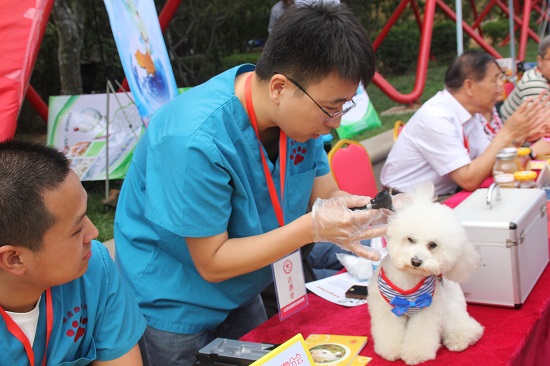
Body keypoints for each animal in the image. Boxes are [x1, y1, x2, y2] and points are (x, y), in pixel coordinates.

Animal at [370, 184, 484, 364]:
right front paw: (390, 351)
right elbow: (388, 330)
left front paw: (415, 355)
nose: (416, 261)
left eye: (433, 245)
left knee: (463, 326)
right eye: (410, 239)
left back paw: (459, 339)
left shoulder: (428, 310)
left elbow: (421, 334)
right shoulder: (384, 308)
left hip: (451, 308)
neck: (408, 280)